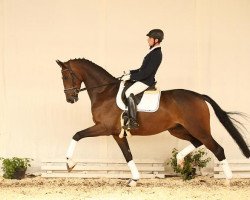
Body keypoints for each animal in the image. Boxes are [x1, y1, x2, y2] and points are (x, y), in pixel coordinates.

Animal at [55, 58, 249, 187]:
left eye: (65, 77)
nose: (70, 99)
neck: (105, 92)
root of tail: (199, 96)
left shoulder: (104, 127)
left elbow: (77, 135)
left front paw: (69, 164)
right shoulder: (117, 133)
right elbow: (128, 155)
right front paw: (134, 180)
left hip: (197, 127)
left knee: (217, 148)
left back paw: (228, 180)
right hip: (178, 129)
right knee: (197, 142)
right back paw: (180, 161)